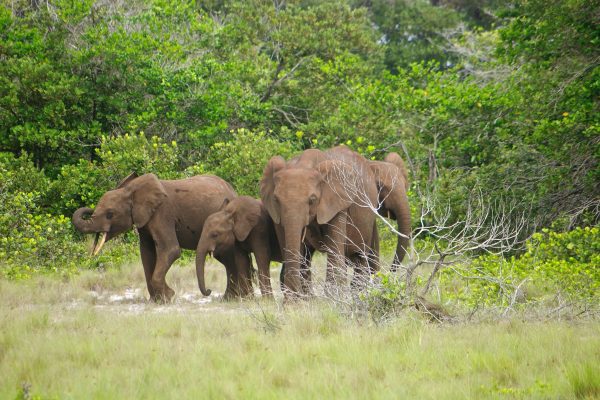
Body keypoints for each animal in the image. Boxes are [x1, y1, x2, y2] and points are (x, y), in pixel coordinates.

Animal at [70, 173, 241, 302]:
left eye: (110, 214)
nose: (89, 210)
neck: (131, 191)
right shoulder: (144, 221)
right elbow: (147, 254)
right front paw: (157, 300)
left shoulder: (162, 213)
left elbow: (170, 250)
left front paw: (168, 297)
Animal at [258, 146, 380, 296]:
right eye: (276, 199)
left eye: (312, 200)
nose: (294, 295)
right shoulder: (276, 212)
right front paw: (298, 299)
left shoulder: (337, 201)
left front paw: (331, 297)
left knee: (361, 256)